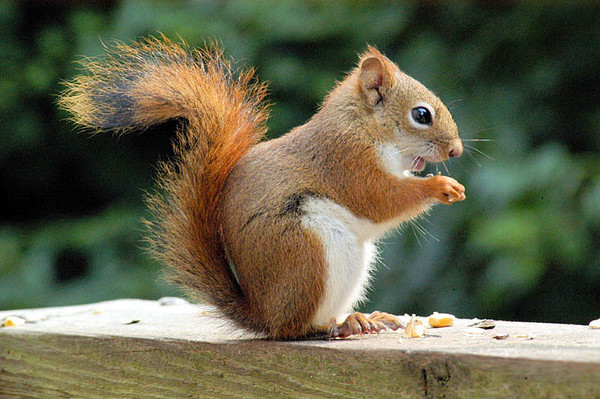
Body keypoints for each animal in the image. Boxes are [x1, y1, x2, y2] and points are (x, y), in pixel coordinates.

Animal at [59, 36, 464, 340]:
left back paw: (365, 318)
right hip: (309, 252)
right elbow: (380, 199)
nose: (456, 151)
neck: (364, 127)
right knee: (294, 328)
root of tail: (263, 314)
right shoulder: (346, 162)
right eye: (421, 115)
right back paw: (338, 326)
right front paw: (440, 186)